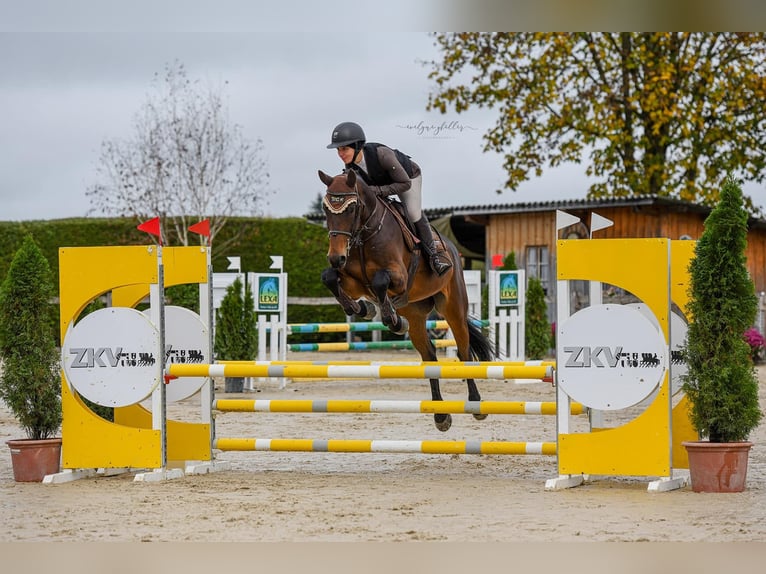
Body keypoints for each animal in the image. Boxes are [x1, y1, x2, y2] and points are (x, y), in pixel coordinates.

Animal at [316, 170, 492, 432]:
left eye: (352, 207)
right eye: (326, 209)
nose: (336, 257)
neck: (365, 235)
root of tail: (452, 249)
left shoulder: (397, 277)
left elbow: (380, 281)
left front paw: (391, 319)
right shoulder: (354, 283)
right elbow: (329, 277)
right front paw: (364, 308)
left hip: (453, 308)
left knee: (463, 351)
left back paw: (475, 404)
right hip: (417, 315)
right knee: (430, 356)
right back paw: (441, 416)